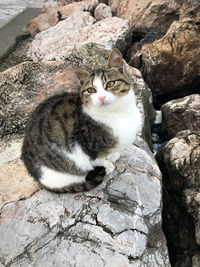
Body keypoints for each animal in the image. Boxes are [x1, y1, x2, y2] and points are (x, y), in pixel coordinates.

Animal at [21, 48, 141, 193]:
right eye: (91, 90)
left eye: (110, 84)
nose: (101, 97)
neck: (117, 114)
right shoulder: (83, 146)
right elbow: (96, 159)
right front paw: (107, 164)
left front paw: (112, 155)